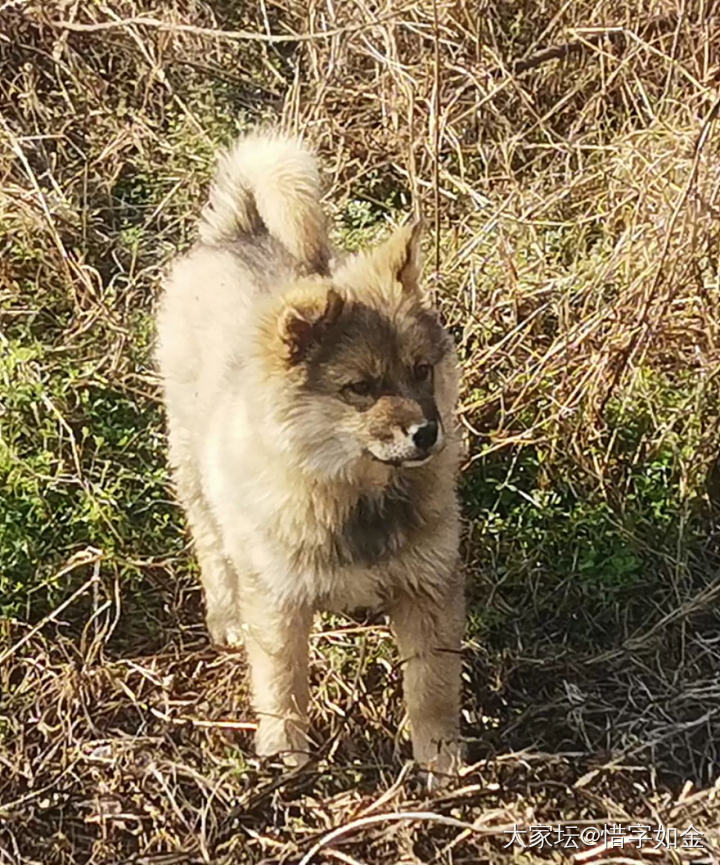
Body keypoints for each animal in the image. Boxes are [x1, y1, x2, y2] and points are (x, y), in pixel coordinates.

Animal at [155, 128, 464, 776]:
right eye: (361, 388)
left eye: (422, 370)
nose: (428, 433)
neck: (358, 495)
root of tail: (241, 230)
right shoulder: (278, 600)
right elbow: (283, 680)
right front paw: (286, 752)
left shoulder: (427, 587)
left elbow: (431, 686)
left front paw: (440, 760)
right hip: (194, 473)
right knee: (213, 552)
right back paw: (225, 619)